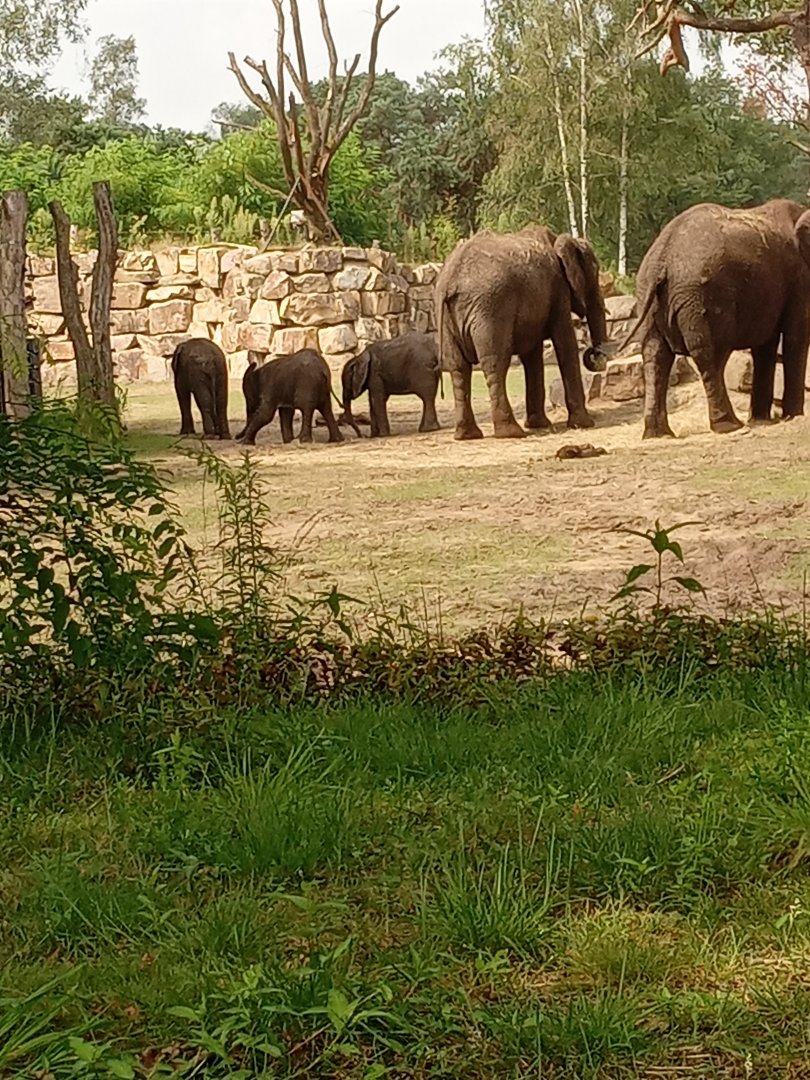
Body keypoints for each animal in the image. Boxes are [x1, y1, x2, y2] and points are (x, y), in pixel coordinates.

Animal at [434, 226, 613, 440]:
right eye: (595, 273)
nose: (593, 353)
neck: (558, 240)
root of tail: (450, 281)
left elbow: (532, 354)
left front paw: (539, 424)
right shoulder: (558, 288)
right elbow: (564, 342)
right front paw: (584, 424)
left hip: (447, 319)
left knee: (458, 367)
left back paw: (467, 435)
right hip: (491, 311)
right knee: (495, 363)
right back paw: (510, 432)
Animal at [632, 198, 810, 438]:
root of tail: (661, 256)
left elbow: (765, 345)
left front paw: (762, 419)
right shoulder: (799, 276)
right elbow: (795, 337)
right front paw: (793, 416)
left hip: (649, 298)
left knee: (655, 355)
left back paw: (658, 434)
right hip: (704, 296)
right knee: (712, 354)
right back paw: (729, 425)